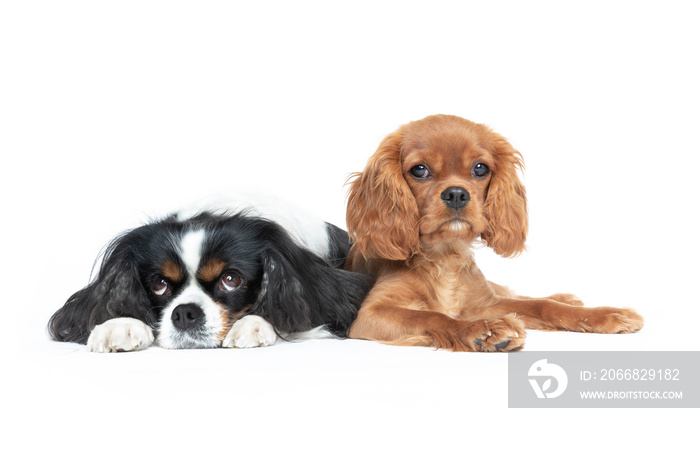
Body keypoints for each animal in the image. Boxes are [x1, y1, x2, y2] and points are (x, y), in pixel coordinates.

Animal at [344, 114, 644, 352]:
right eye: (419, 170)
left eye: (480, 168)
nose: (456, 194)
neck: (445, 256)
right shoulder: (369, 315)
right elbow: (432, 317)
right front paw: (483, 330)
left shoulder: (486, 303)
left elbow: (542, 306)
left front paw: (605, 314)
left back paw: (569, 298)